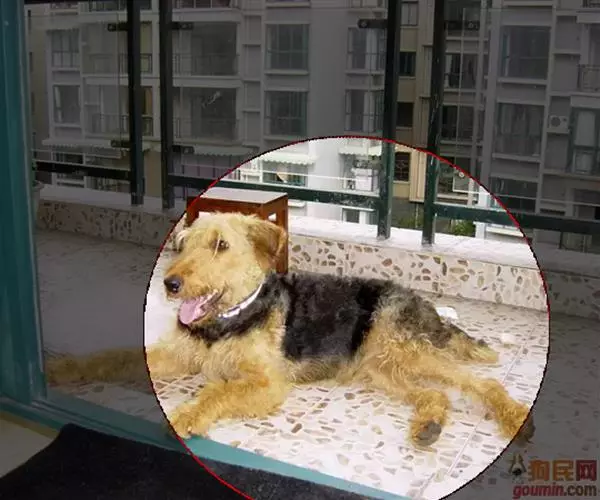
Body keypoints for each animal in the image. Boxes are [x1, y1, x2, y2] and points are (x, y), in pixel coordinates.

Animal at [47, 212, 534, 448]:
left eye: (221, 245)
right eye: (182, 245)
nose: (171, 284)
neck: (227, 320)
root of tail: (424, 303)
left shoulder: (266, 383)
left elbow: (218, 392)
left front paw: (185, 415)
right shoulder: (179, 353)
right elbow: (113, 355)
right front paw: (61, 370)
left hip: (408, 351)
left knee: (483, 384)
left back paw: (513, 419)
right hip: (382, 368)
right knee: (435, 394)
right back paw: (428, 426)